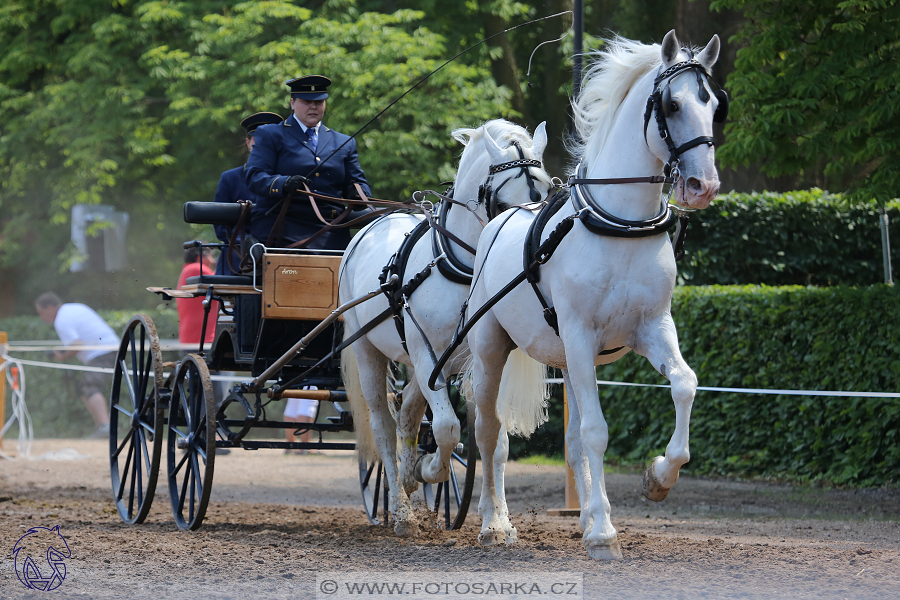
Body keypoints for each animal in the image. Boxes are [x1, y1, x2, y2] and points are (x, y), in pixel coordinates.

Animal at [338, 117, 548, 536]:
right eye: (504, 205)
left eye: (548, 191)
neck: (463, 270)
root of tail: (371, 226)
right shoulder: (427, 354)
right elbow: (449, 429)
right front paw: (428, 470)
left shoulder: (484, 358)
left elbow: (495, 439)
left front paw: (498, 521)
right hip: (370, 352)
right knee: (383, 425)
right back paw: (401, 510)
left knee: (407, 415)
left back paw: (407, 480)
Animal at [464, 31, 724, 556]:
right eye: (672, 104)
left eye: (714, 104)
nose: (703, 185)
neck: (620, 224)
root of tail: (501, 219)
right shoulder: (581, 336)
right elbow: (597, 431)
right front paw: (604, 532)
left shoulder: (652, 328)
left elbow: (684, 385)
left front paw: (658, 478)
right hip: (491, 350)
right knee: (489, 432)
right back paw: (494, 522)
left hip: (567, 359)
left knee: (568, 441)